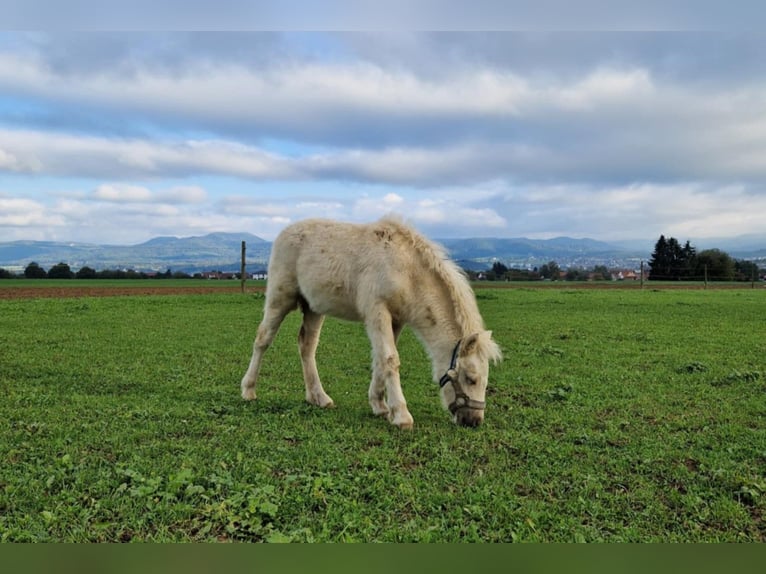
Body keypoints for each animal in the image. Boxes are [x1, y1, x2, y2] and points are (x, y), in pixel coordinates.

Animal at [240, 216, 502, 429]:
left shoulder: (397, 319)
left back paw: (318, 397)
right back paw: (248, 390)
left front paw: (380, 406)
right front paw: (401, 415)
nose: (474, 421)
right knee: (263, 339)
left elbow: (380, 359)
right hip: (280, 297)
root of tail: (284, 232)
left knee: (306, 346)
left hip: (313, 308)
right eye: (471, 378)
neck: (407, 271)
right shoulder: (377, 312)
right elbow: (390, 358)